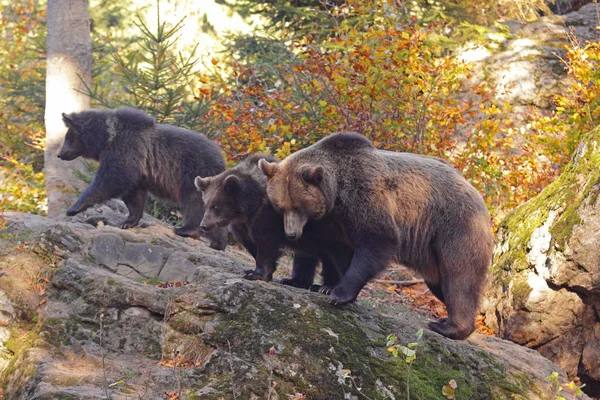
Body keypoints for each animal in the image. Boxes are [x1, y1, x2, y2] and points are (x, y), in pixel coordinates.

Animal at [195, 154, 354, 290]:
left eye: (216, 206)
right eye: (205, 204)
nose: (204, 225)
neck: (249, 207)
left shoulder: (267, 216)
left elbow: (267, 242)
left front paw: (256, 274)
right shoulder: (243, 225)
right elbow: (250, 242)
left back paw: (327, 287)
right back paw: (295, 281)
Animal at [260, 133, 494, 340]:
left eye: (298, 206)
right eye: (281, 207)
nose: (291, 233)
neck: (336, 196)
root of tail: (477, 193)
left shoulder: (363, 196)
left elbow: (377, 240)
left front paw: (338, 293)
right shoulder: (329, 223)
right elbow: (322, 250)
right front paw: (305, 282)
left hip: (454, 227)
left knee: (458, 277)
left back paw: (448, 326)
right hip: (432, 255)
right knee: (441, 285)